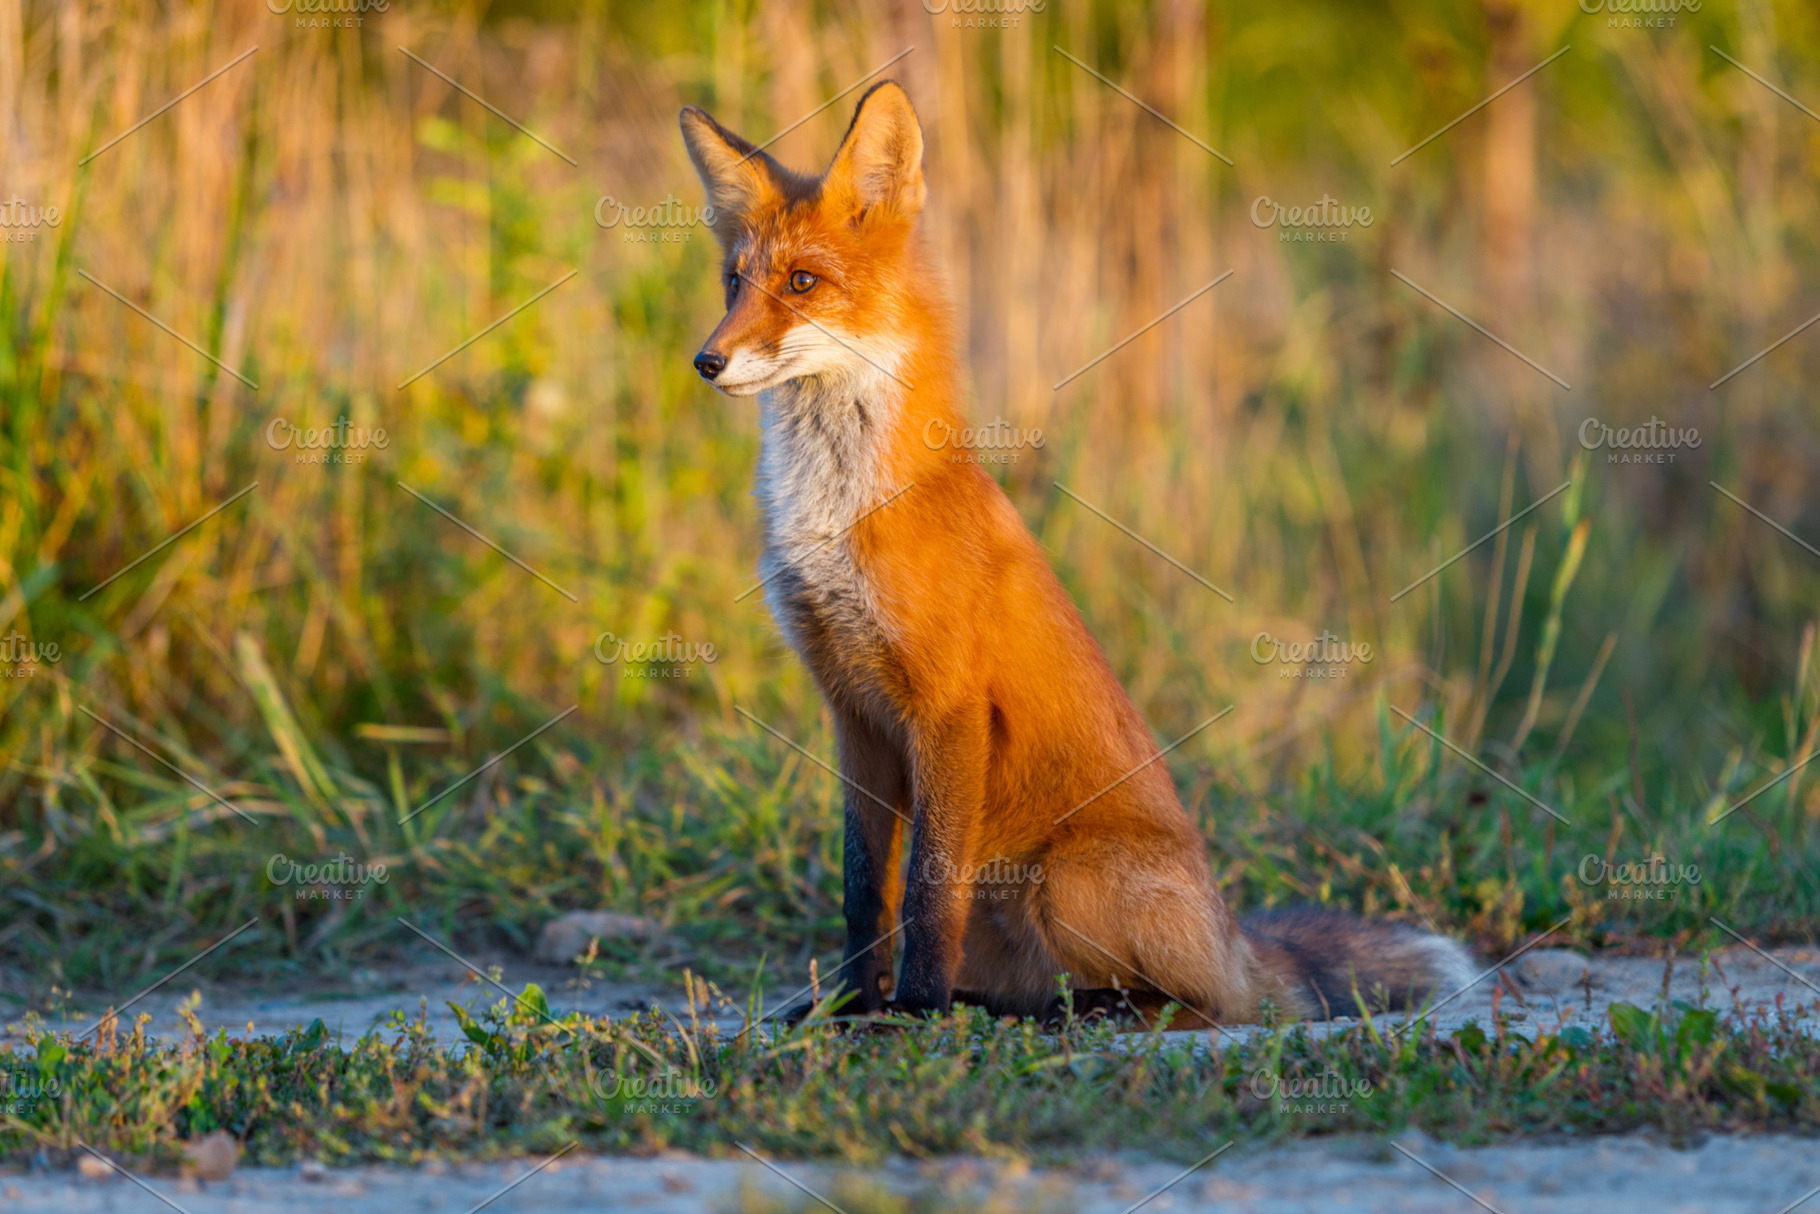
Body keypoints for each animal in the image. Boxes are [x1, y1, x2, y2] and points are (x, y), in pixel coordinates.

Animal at [680, 82, 1473, 1027]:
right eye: (734, 283)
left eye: (802, 282)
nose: (706, 360)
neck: (837, 513)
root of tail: (1233, 940)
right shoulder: (853, 709)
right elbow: (865, 889)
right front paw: (846, 1006)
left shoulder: (947, 706)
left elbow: (927, 889)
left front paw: (912, 1011)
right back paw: (998, 1004)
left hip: (1061, 881)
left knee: (1191, 1003)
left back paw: (1080, 1009)